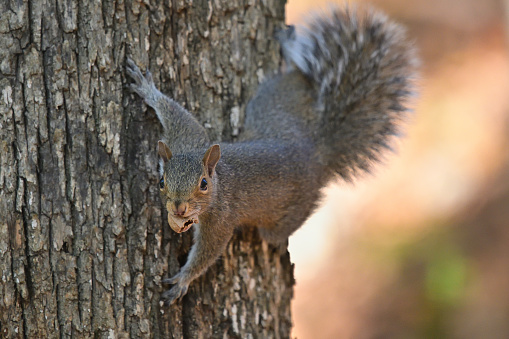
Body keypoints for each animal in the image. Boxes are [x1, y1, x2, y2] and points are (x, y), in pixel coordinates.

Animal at [125, 6, 414, 306]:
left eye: (203, 184)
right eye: (161, 182)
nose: (179, 208)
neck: (220, 182)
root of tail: (316, 150)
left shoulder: (220, 218)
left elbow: (208, 251)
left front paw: (183, 279)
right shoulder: (188, 139)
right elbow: (177, 115)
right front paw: (148, 90)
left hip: (286, 214)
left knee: (275, 233)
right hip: (274, 101)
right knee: (297, 75)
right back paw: (289, 45)